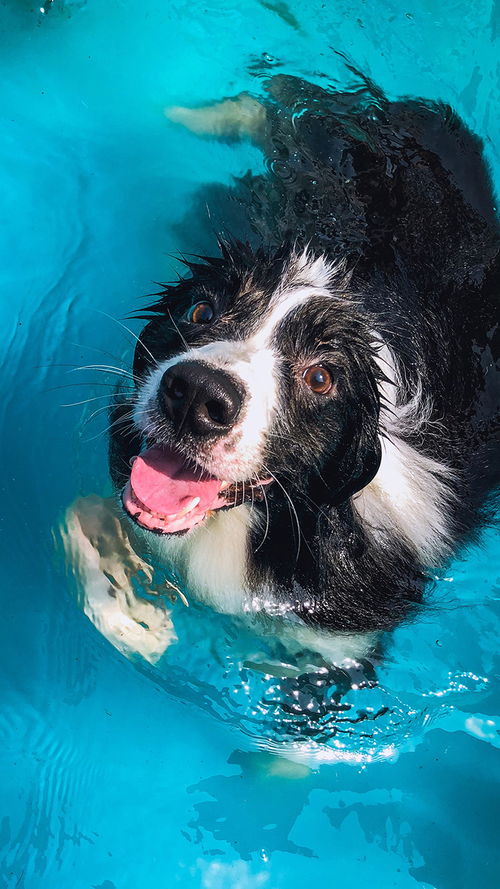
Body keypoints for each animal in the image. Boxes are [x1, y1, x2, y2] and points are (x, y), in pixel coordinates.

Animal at [64, 74, 498, 660]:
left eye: (320, 377)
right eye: (201, 311)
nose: (196, 395)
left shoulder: (341, 634)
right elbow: (80, 518)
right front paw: (134, 608)